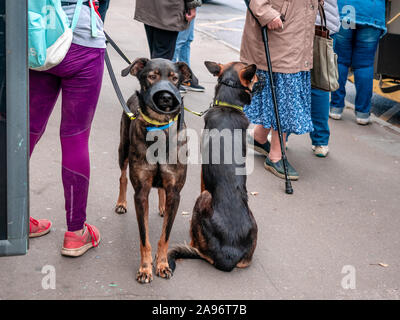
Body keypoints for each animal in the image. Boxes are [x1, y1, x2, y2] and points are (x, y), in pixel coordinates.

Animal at [115, 57, 192, 282]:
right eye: (151, 76)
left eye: (175, 78)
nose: (166, 97)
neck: (159, 127)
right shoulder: (141, 193)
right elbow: (144, 237)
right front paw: (145, 268)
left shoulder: (175, 191)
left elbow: (165, 236)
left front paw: (163, 264)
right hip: (122, 149)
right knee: (122, 177)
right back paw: (121, 203)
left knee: (161, 190)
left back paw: (162, 206)